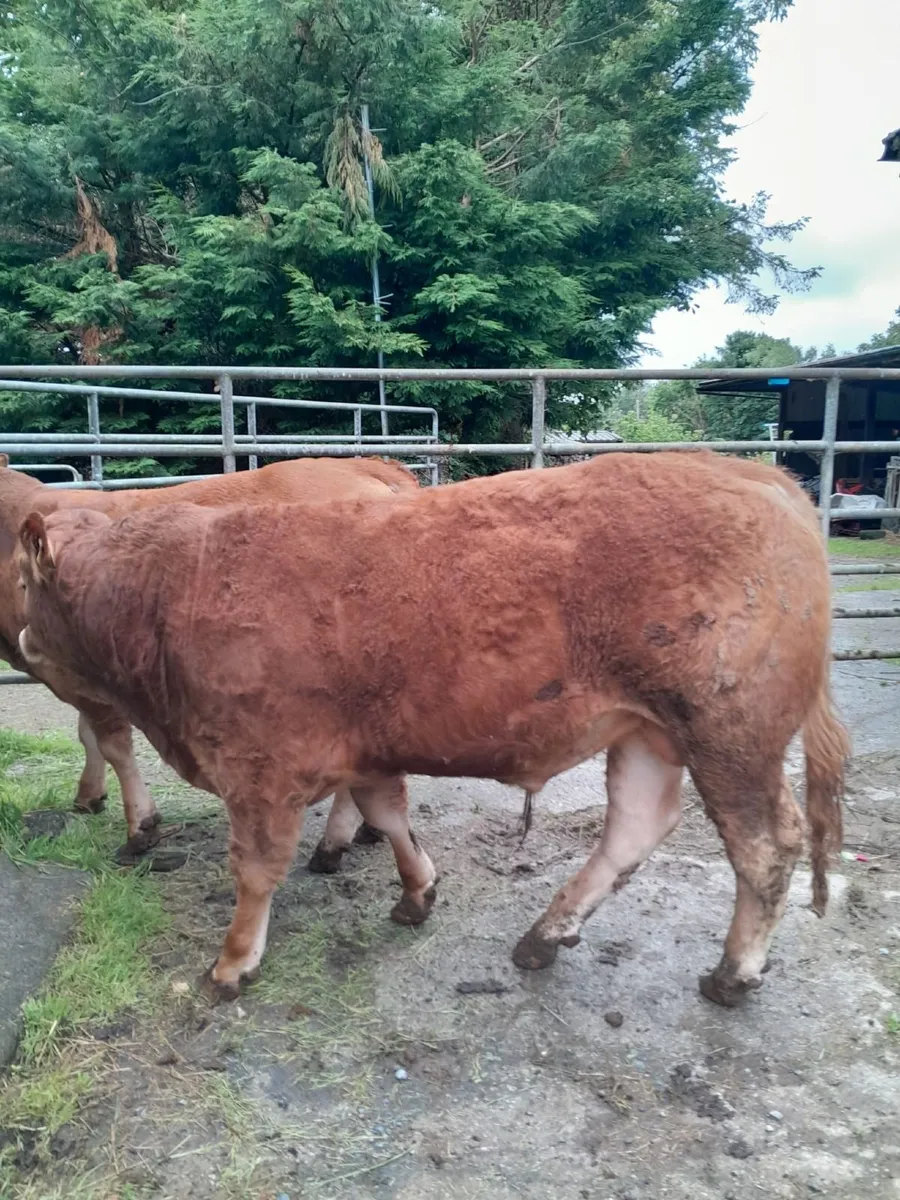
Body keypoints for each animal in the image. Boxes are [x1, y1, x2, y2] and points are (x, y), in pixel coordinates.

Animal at [0, 453, 417, 861]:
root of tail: (365, 464)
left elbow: (111, 744)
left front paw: (140, 828)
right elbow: (86, 734)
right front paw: (90, 795)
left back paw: (334, 843)